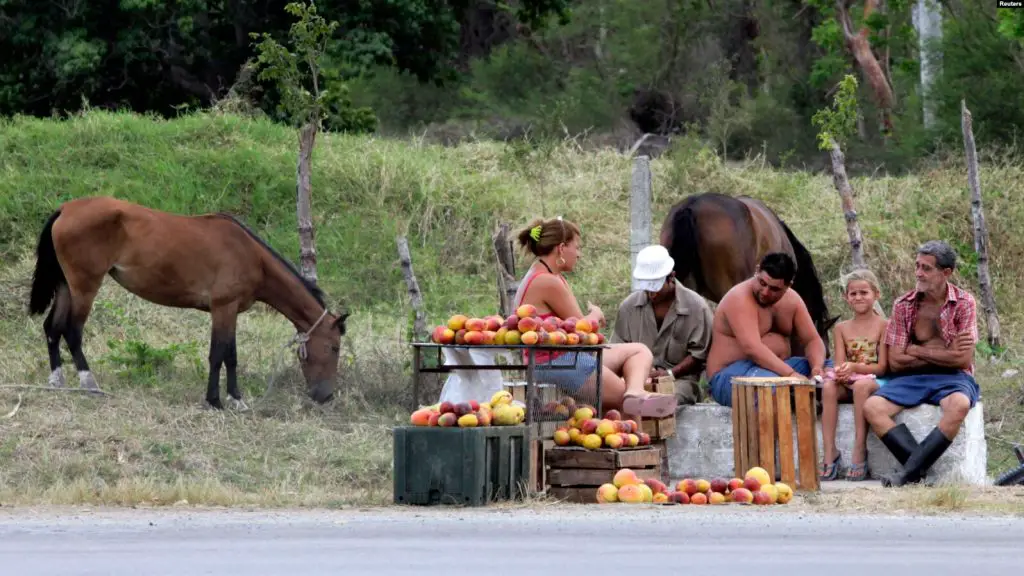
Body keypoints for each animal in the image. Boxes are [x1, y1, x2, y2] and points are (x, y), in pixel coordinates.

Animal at [28, 196, 348, 407]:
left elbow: (230, 354)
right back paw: (89, 383)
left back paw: (57, 381)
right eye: (334, 347)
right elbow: (220, 354)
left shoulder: (230, 311)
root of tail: (66, 209)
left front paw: (235, 399)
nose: (326, 395)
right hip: (85, 286)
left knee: (52, 328)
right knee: (72, 332)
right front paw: (216, 401)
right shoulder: (223, 308)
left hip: (66, 286)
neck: (250, 255)